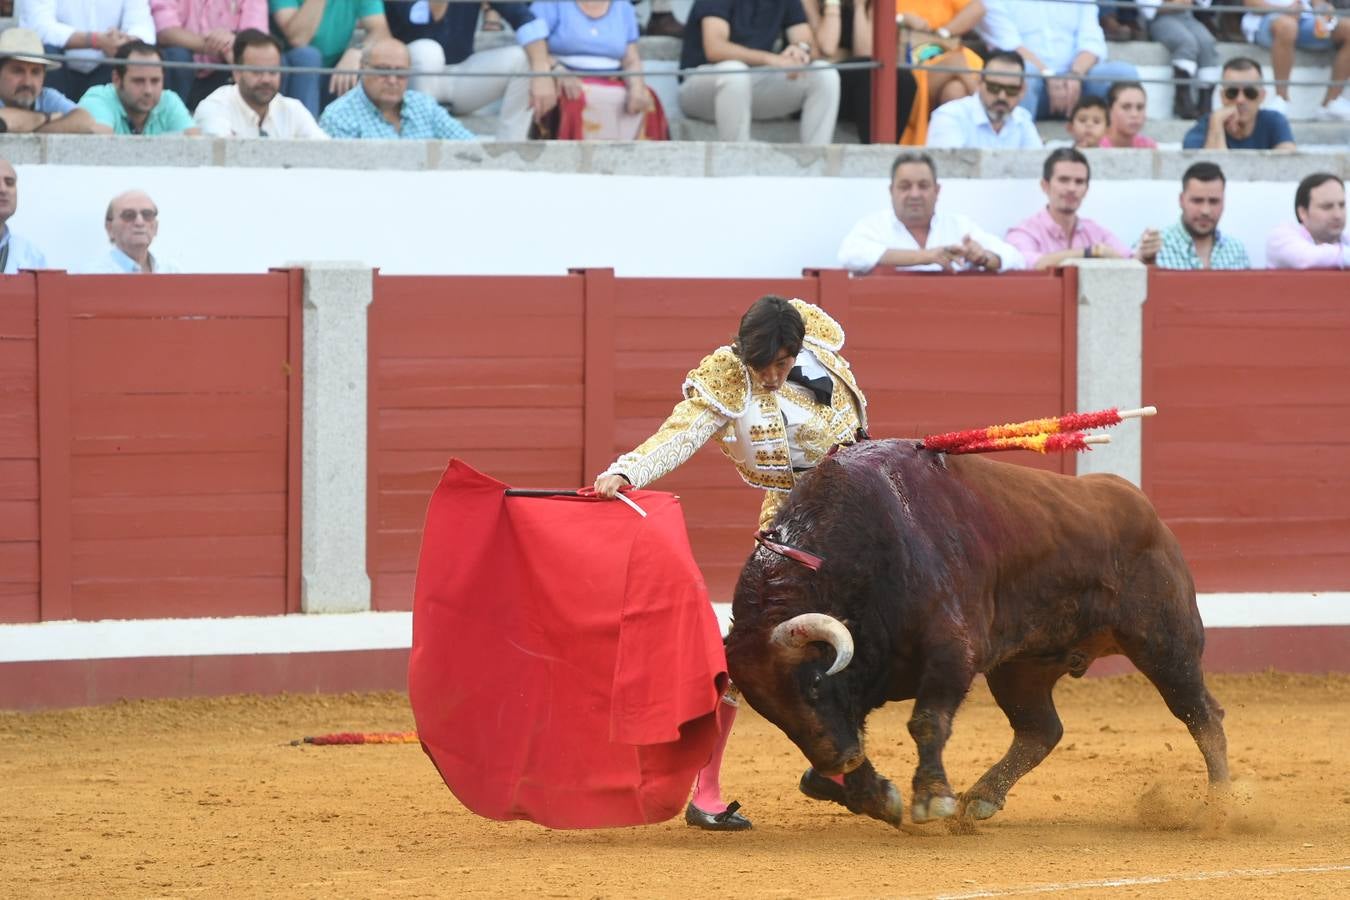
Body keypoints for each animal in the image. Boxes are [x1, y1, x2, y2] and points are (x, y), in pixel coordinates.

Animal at [729, 439, 1236, 825]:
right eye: (768, 711)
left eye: (814, 683)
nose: (840, 760)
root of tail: (1145, 509)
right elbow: (848, 734)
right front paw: (876, 795)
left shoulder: (952, 652)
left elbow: (927, 720)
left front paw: (932, 799)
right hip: (1022, 668)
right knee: (1040, 729)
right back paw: (981, 799)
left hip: (1166, 644)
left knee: (1200, 714)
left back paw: (1220, 805)